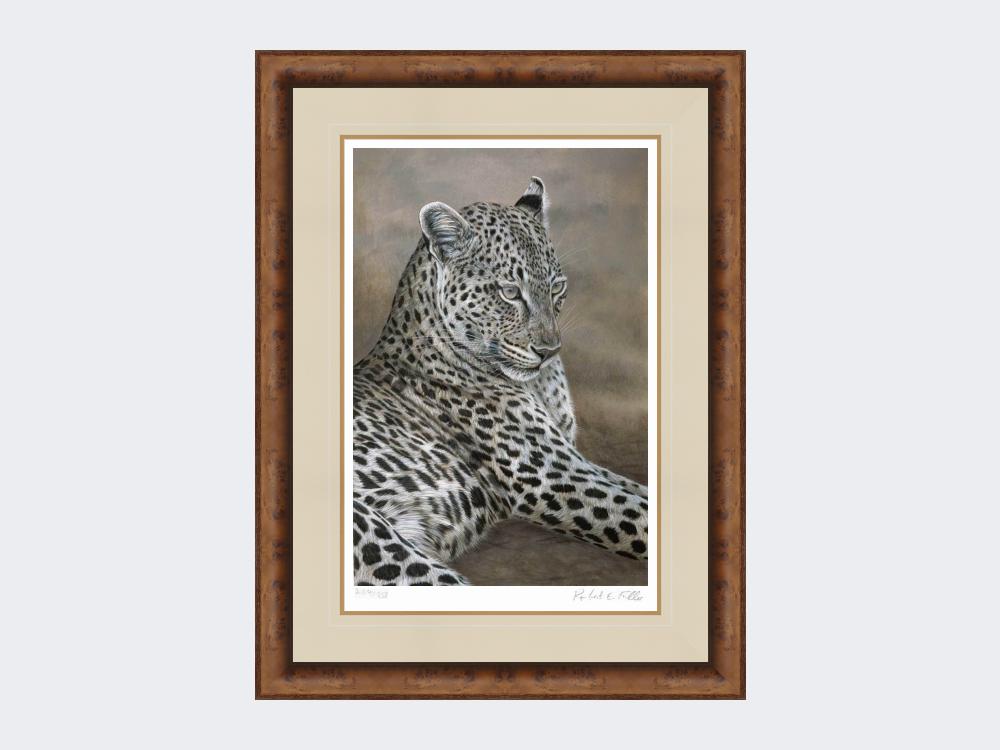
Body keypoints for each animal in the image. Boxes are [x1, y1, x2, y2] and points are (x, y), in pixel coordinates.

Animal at [352, 177, 649, 585]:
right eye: (509, 293)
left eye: (557, 288)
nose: (549, 350)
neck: (539, 384)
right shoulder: (549, 475)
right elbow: (638, 514)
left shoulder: (572, 459)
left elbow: (638, 489)